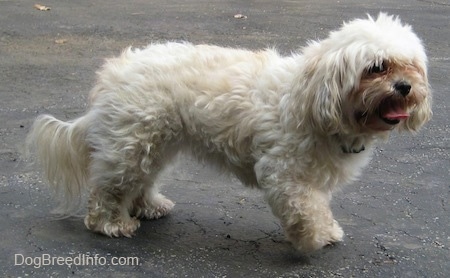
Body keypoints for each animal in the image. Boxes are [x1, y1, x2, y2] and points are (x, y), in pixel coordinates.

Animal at [26, 12, 430, 252]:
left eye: (410, 66)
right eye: (376, 67)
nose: (405, 87)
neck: (312, 96)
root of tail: (112, 73)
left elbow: (319, 203)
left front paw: (325, 230)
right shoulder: (285, 173)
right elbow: (306, 207)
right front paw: (313, 237)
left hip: (155, 143)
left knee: (142, 180)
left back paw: (149, 206)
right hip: (132, 146)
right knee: (107, 189)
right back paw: (110, 224)